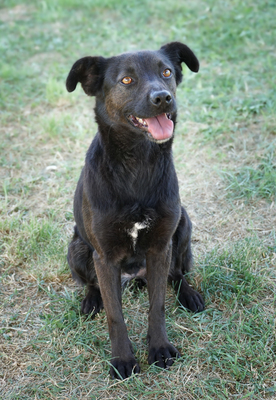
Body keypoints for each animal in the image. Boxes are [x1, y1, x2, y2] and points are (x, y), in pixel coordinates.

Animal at [66, 42, 205, 380]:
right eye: (127, 80)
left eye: (165, 72)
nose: (163, 98)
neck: (138, 164)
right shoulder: (104, 257)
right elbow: (115, 315)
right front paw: (123, 360)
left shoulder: (159, 247)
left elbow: (158, 306)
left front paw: (159, 348)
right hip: (76, 248)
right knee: (93, 284)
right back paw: (91, 301)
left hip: (183, 227)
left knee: (177, 274)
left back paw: (189, 294)